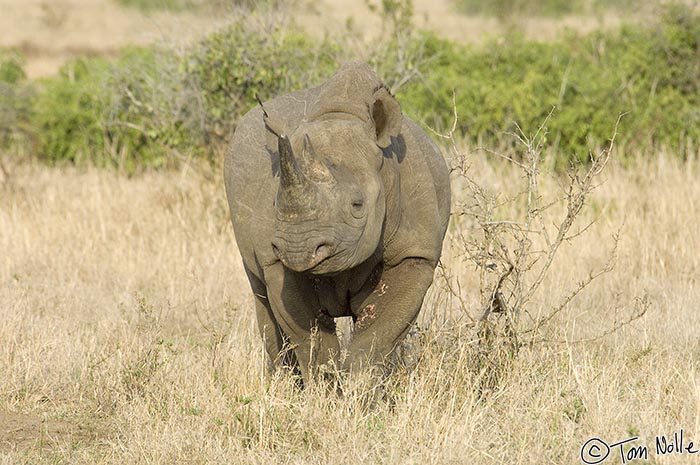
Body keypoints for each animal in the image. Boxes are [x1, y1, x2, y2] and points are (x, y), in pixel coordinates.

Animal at [227, 61, 452, 380]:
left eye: (357, 205)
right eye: (274, 204)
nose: (298, 248)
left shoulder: (414, 255)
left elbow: (376, 338)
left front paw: (361, 388)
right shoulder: (276, 261)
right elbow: (310, 340)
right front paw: (326, 387)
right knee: (263, 301)